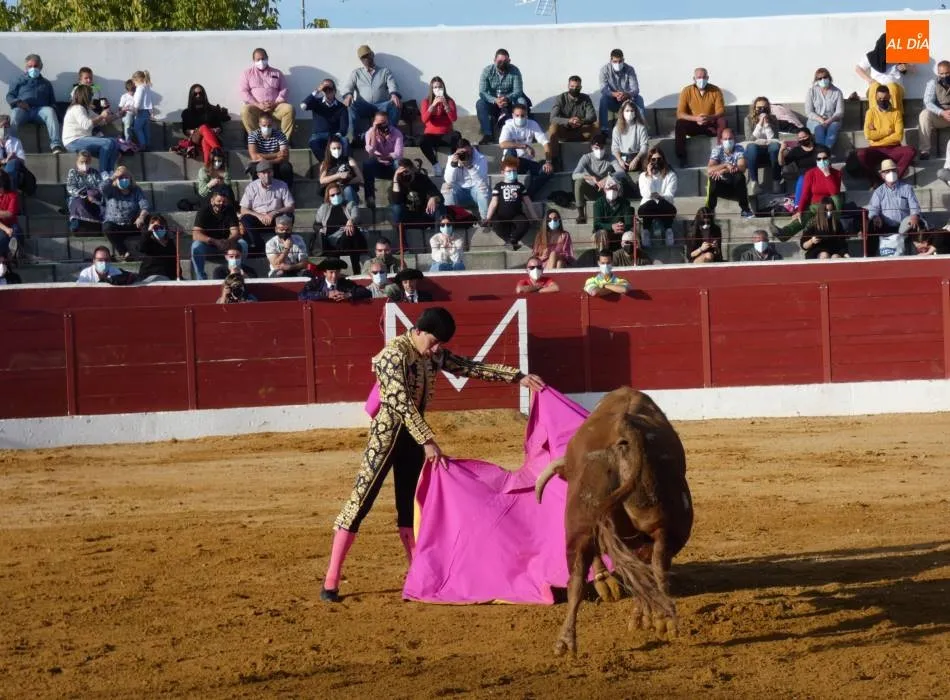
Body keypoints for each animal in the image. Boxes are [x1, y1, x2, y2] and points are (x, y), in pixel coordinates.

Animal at [535, 386, 693, 656]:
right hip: (663, 526)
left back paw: (565, 642)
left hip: (581, 526)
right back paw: (663, 621)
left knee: (577, 580)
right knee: (656, 568)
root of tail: (624, 432)